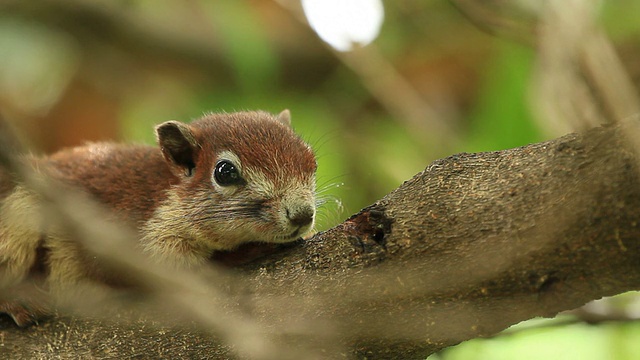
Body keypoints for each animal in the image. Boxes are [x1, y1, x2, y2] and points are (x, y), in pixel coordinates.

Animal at [0, 110, 316, 326]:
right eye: (225, 172)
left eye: (311, 161)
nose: (302, 214)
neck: (164, 193)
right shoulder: (122, 237)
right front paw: (248, 251)